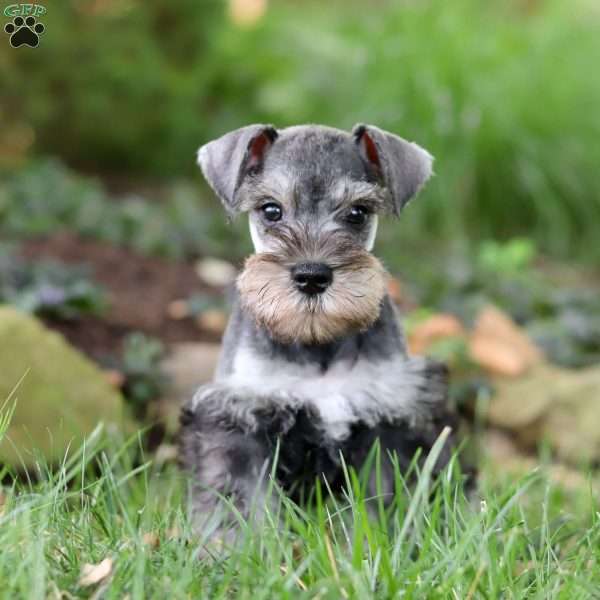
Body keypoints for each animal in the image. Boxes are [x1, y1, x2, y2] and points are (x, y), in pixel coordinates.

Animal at [180, 123, 462, 544]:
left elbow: (379, 496)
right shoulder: (240, 414)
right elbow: (239, 496)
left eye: (358, 213)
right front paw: (238, 548)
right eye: (271, 210)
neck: (318, 345)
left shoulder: (386, 415)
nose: (312, 276)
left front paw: (372, 543)